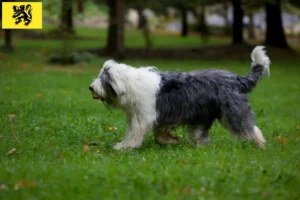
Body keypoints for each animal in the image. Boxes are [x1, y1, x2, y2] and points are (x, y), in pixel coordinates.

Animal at [88, 46, 270, 150]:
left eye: (103, 79)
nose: (91, 87)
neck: (130, 84)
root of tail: (236, 79)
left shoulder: (143, 116)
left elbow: (135, 132)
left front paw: (124, 146)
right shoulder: (160, 116)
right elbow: (160, 132)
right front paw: (172, 141)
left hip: (233, 111)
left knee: (250, 128)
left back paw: (260, 145)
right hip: (202, 116)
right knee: (200, 134)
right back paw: (200, 145)